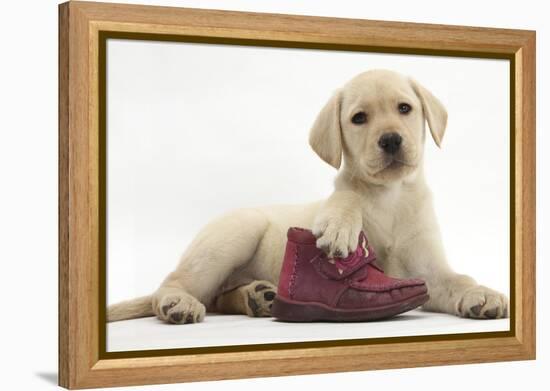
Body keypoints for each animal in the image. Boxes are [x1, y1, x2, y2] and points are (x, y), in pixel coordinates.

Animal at [110, 69, 512, 324]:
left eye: (404, 109)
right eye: (359, 118)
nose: (391, 140)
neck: (390, 196)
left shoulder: (428, 271)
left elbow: (457, 279)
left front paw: (481, 293)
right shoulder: (347, 194)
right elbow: (346, 196)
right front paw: (340, 227)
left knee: (218, 299)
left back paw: (259, 297)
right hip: (234, 233)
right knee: (176, 284)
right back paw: (178, 302)